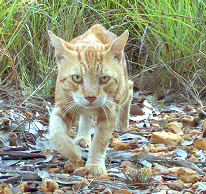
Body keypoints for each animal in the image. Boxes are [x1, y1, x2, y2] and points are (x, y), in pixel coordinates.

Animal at [48, 24, 133, 176]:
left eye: (104, 78)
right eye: (77, 78)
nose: (90, 97)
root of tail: (97, 27)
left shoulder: (109, 112)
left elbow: (100, 140)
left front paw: (94, 164)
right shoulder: (63, 107)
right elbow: (56, 133)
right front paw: (73, 151)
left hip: (122, 91)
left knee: (130, 86)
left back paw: (123, 123)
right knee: (86, 116)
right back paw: (83, 136)